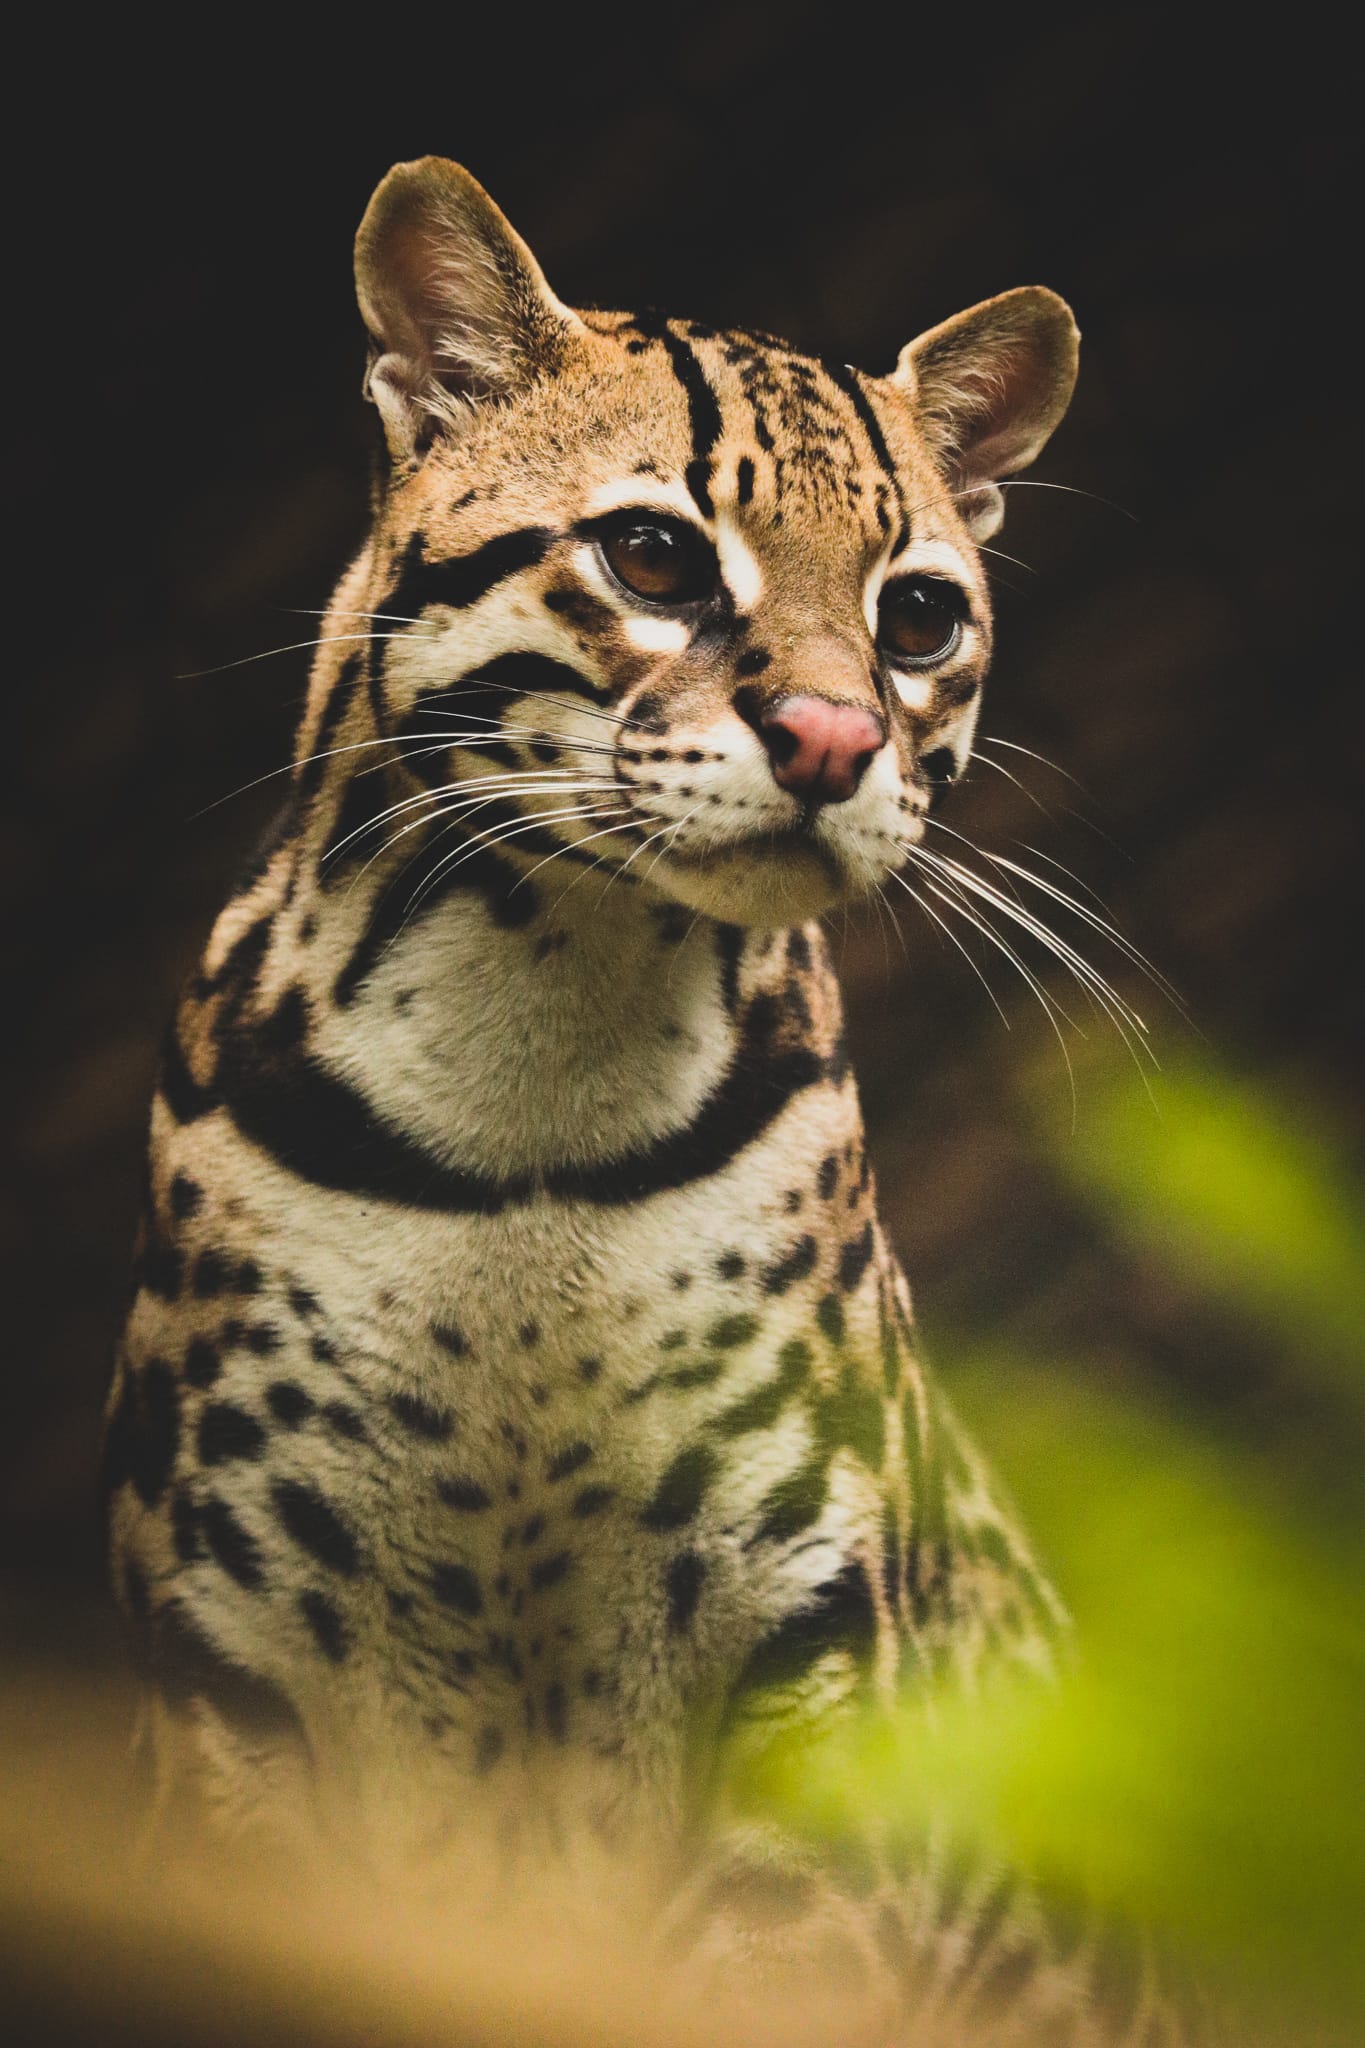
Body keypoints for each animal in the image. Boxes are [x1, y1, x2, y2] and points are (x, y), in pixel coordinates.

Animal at [101, 155, 1186, 2031]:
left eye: (919, 614)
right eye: (655, 553)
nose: (833, 740)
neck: (543, 1031)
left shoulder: (812, 1625)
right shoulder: (232, 1642)